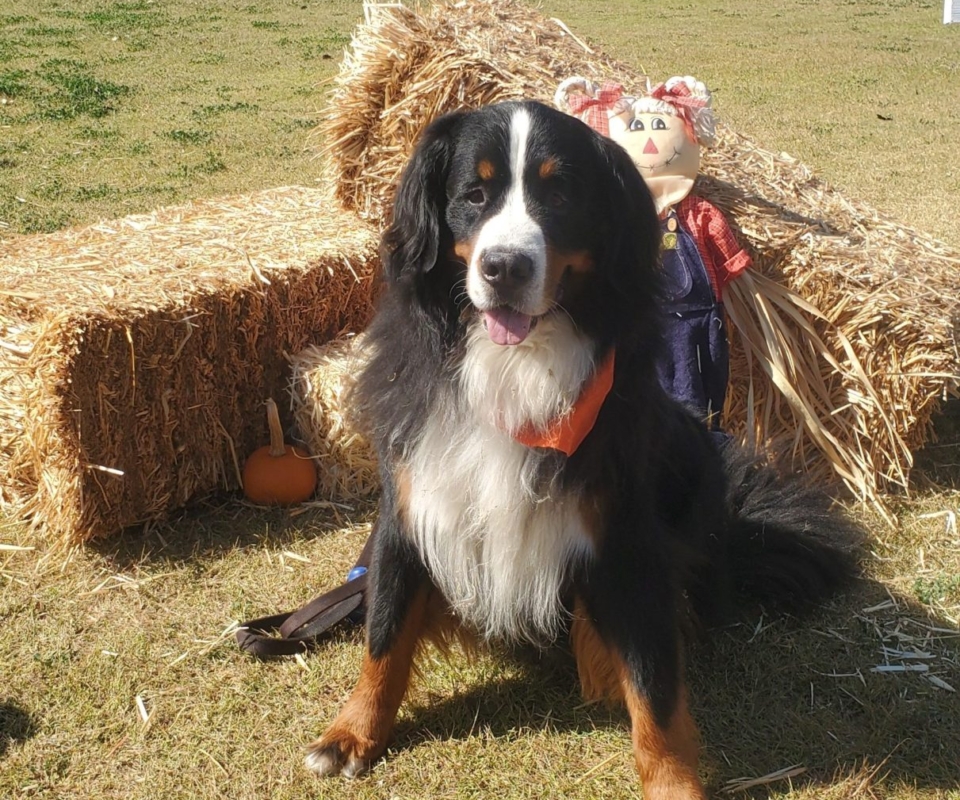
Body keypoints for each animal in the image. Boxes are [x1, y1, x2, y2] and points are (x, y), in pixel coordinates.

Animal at [304, 101, 860, 800]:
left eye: (560, 196)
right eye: (474, 194)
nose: (504, 267)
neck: (516, 368)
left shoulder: (625, 536)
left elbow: (655, 682)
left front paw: (672, 780)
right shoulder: (408, 503)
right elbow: (384, 629)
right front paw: (352, 733)